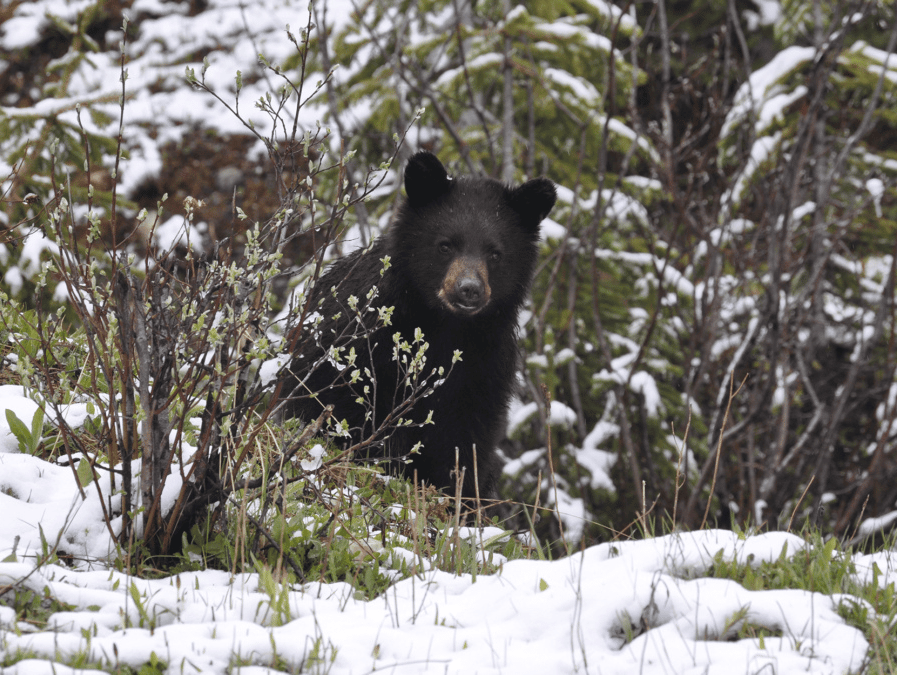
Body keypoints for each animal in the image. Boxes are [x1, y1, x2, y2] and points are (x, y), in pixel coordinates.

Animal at [284, 151, 556, 504]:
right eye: (445, 245)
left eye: (495, 253)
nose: (469, 289)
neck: (445, 326)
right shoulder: (361, 342)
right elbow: (341, 402)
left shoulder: (485, 366)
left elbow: (465, 439)